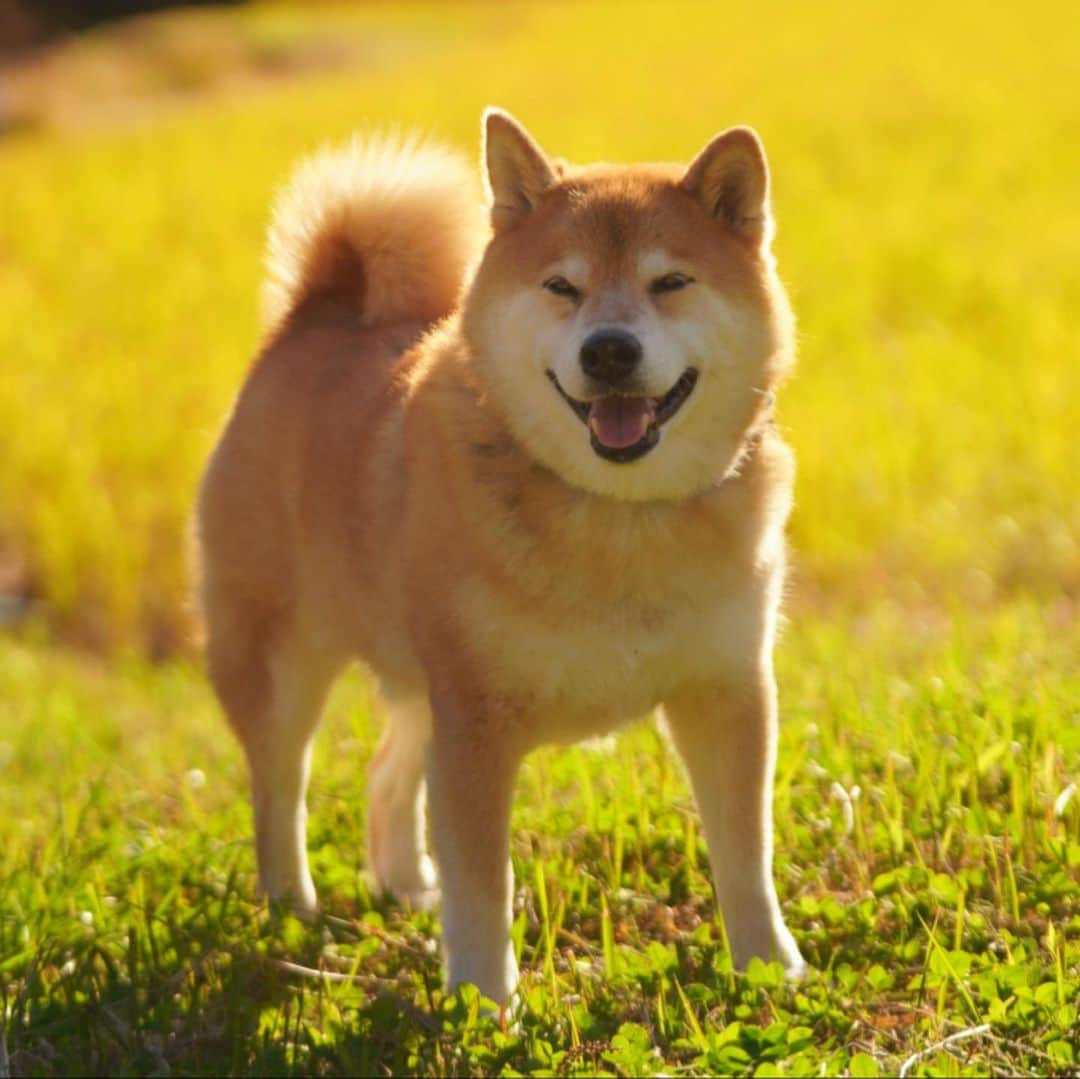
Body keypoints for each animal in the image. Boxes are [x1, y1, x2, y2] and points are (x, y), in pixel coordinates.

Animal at [200, 105, 812, 997]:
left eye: (670, 282)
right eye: (563, 286)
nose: (609, 349)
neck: (616, 517)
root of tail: (317, 314)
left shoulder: (728, 689)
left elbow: (746, 854)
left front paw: (771, 969)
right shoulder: (477, 722)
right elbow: (485, 883)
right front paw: (484, 1002)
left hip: (422, 686)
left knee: (386, 774)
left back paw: (405, 883)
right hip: (281, 659)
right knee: (281, 789)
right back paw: (293, 910)